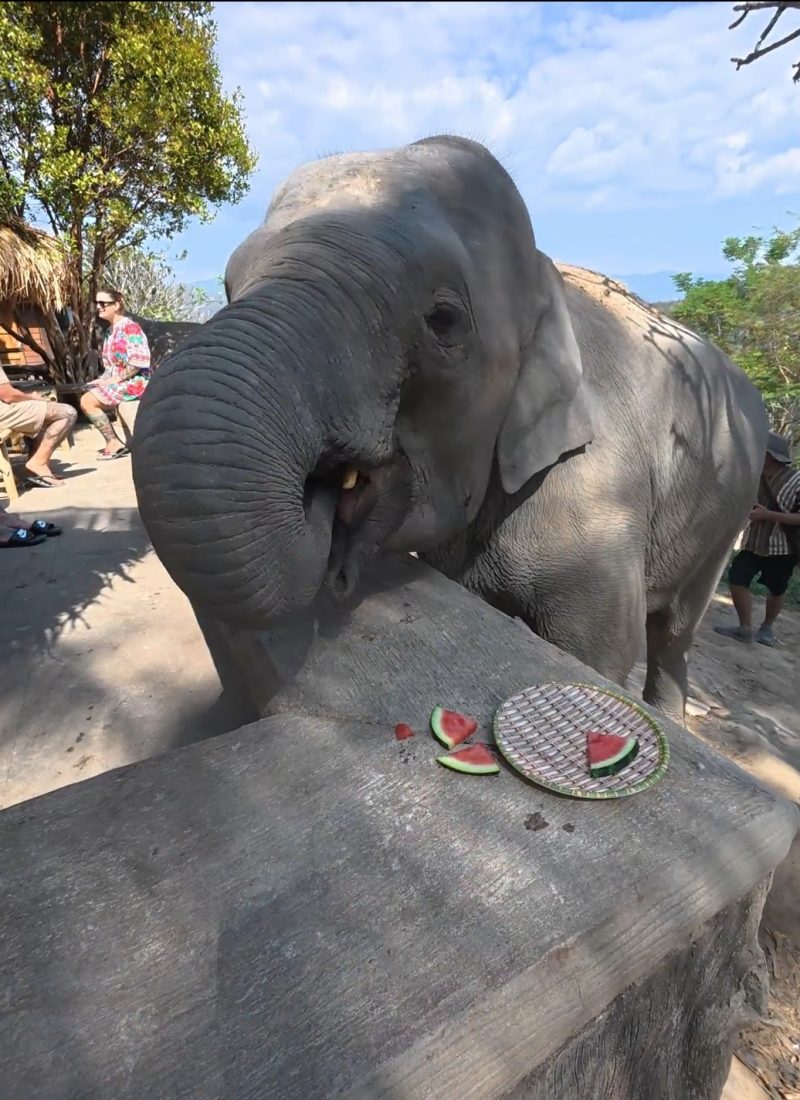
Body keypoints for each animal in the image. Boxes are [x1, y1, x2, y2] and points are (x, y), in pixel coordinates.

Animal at [131, 134, 769, 720]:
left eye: (444, 321)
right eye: (229, 287)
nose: (321, 491)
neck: (546, 278)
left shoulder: (600, 512)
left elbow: (601, 654)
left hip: (730, 511)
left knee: (674, 632)